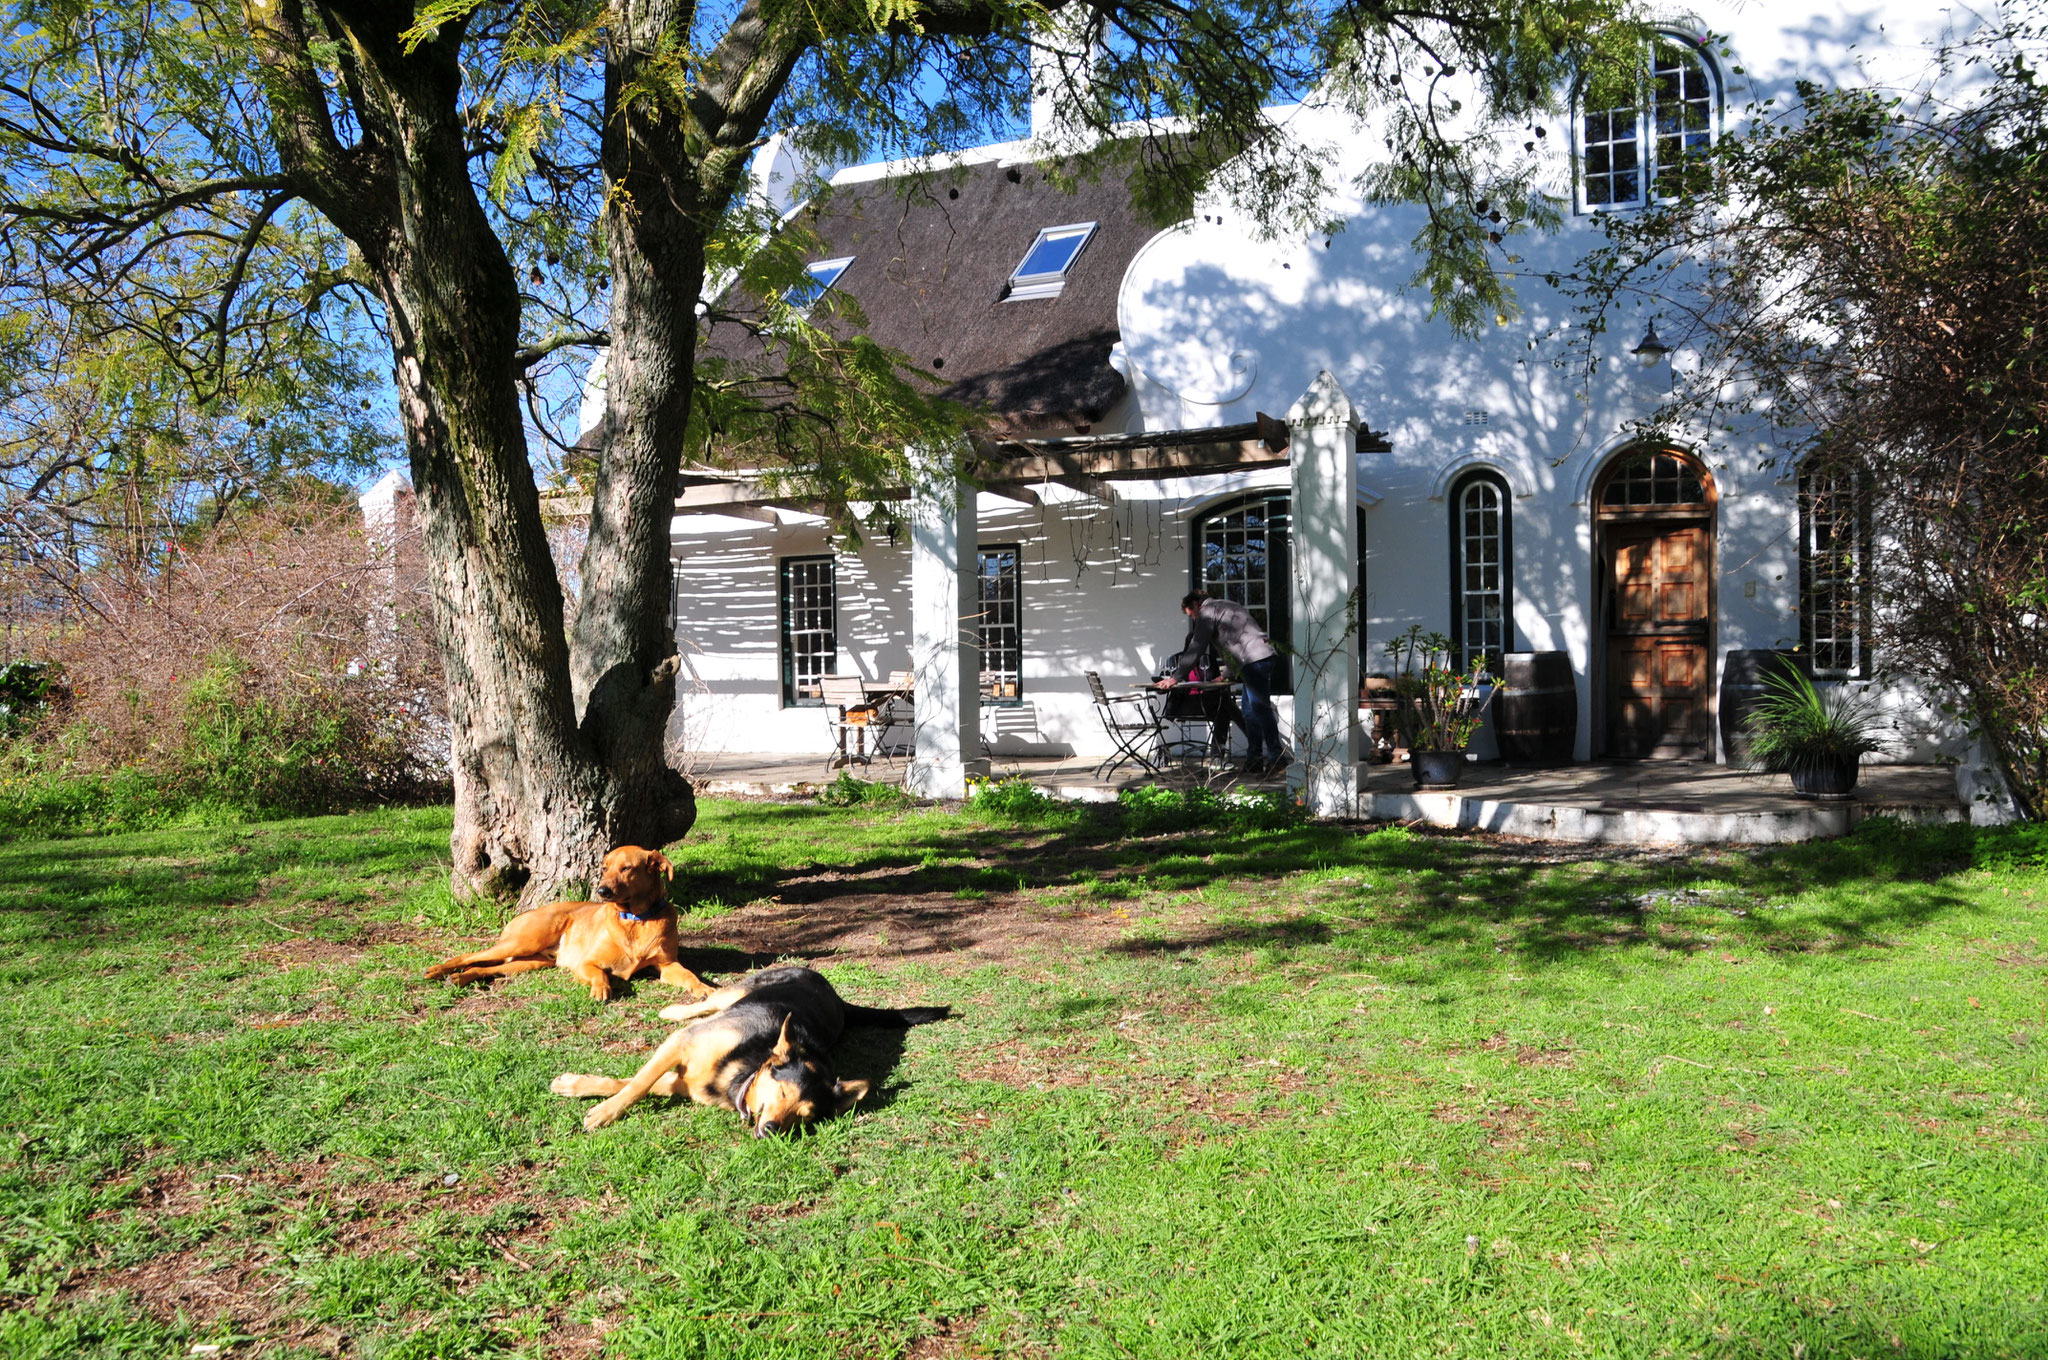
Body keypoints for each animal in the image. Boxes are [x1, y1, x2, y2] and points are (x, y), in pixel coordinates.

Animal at [419, 843, 708, 1003]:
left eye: (626, 868)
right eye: (604, 868)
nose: (602, 891)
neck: (636, 920)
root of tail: (523, 914)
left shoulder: (667, 966)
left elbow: (690, 975)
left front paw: (705, 988)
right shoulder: (587, 963)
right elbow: (601, 974)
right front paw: (601, 989)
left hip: (532, 962)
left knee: (485, 968)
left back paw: (460, 978)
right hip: (524, 942)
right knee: (469, 955)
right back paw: (437, 971)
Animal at [552, 966, 950, 1138]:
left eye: (804, 1117)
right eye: (784, 1092)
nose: (772, 1130)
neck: (745, 1069)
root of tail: (836, 996)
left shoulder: (687, 1082)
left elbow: (630, 1082)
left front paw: (577, 1087)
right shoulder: (681, 1044)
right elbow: (635, 1085)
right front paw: (602, 1112)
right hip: (738, 991)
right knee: (709, 999)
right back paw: (674, 1010)